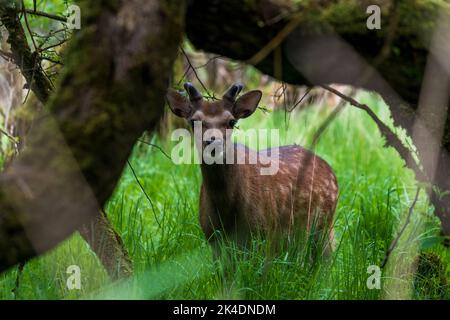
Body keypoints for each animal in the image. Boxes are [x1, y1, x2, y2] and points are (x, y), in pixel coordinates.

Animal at [167, 82, 340, 258]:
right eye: (194, 121)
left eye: (231, 121)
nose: (213, 142)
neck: (225, 211)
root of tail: (329, 168)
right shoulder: (212, 237)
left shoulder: (264, 232)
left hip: (323, 225)